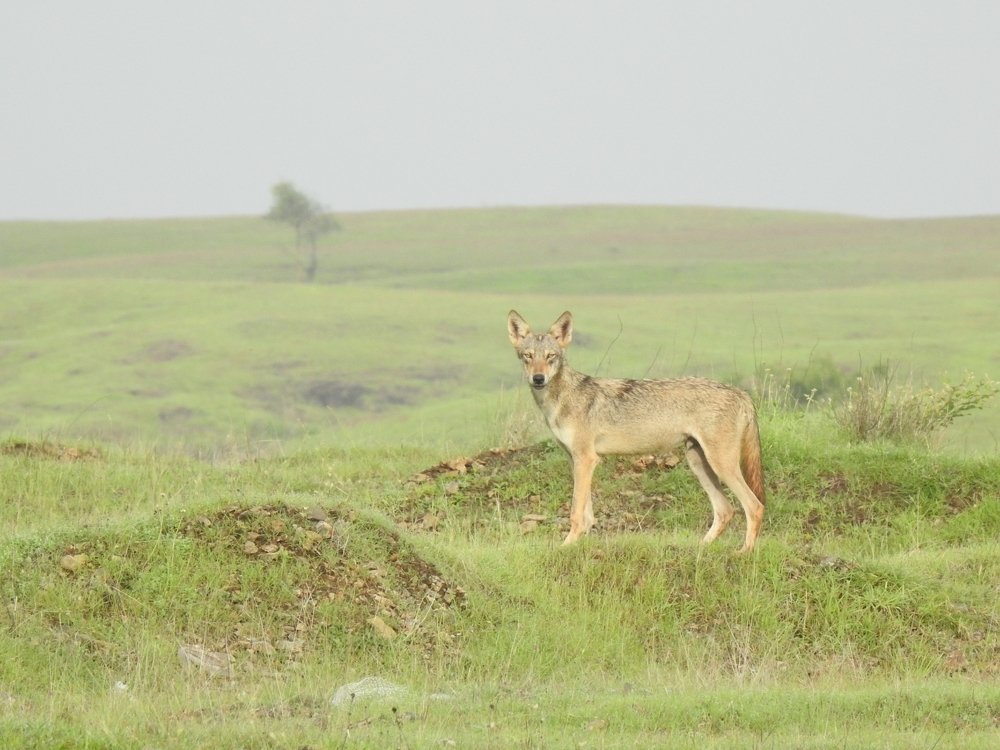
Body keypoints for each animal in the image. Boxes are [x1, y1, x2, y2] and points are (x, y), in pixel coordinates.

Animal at [507, 310, 765, 552]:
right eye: (528, 356)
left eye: (550, 357)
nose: (538, 378)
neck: (560, 399)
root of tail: (741, 392)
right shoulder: (576, 460)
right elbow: (587, 514)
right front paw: (577, 547)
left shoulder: (586, 459)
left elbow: (576, 513)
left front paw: (566, 547)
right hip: (698, 462)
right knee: (725, 509)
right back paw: (700, 548)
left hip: (721, 465)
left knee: (755, 506)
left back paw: (744, 552)